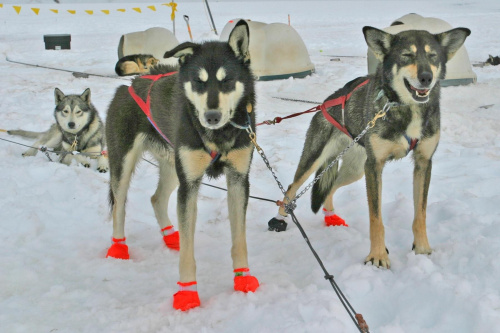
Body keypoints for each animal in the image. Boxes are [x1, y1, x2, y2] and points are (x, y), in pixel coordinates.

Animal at [106, 20, 262, 312]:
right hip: (123, 166)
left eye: (226, 80)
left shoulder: (238, 179)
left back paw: (170, 236)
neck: (218, 135)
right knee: (119, 208)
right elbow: (189, 254)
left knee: (156, 198)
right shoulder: (189, 185)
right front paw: (188, 292)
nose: (211, 116)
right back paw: (118, 248)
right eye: (199, 82)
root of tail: (133, 82)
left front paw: (243, 278)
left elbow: (240, 240)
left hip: (173, 167)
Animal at [268, 27, 470, 268]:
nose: (426, 78)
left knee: (330, 187)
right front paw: (378, 256)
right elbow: (376, 218)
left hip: (356, 170)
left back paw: (330, 217)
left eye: (433, 56)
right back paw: (279, 218)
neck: (406, 109)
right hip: (317, 159)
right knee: (291, 188)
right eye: (406, 55)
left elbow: (420, 214)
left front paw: (422, 249)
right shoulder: (374, 167)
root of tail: (325, 103)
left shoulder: (423, 162)